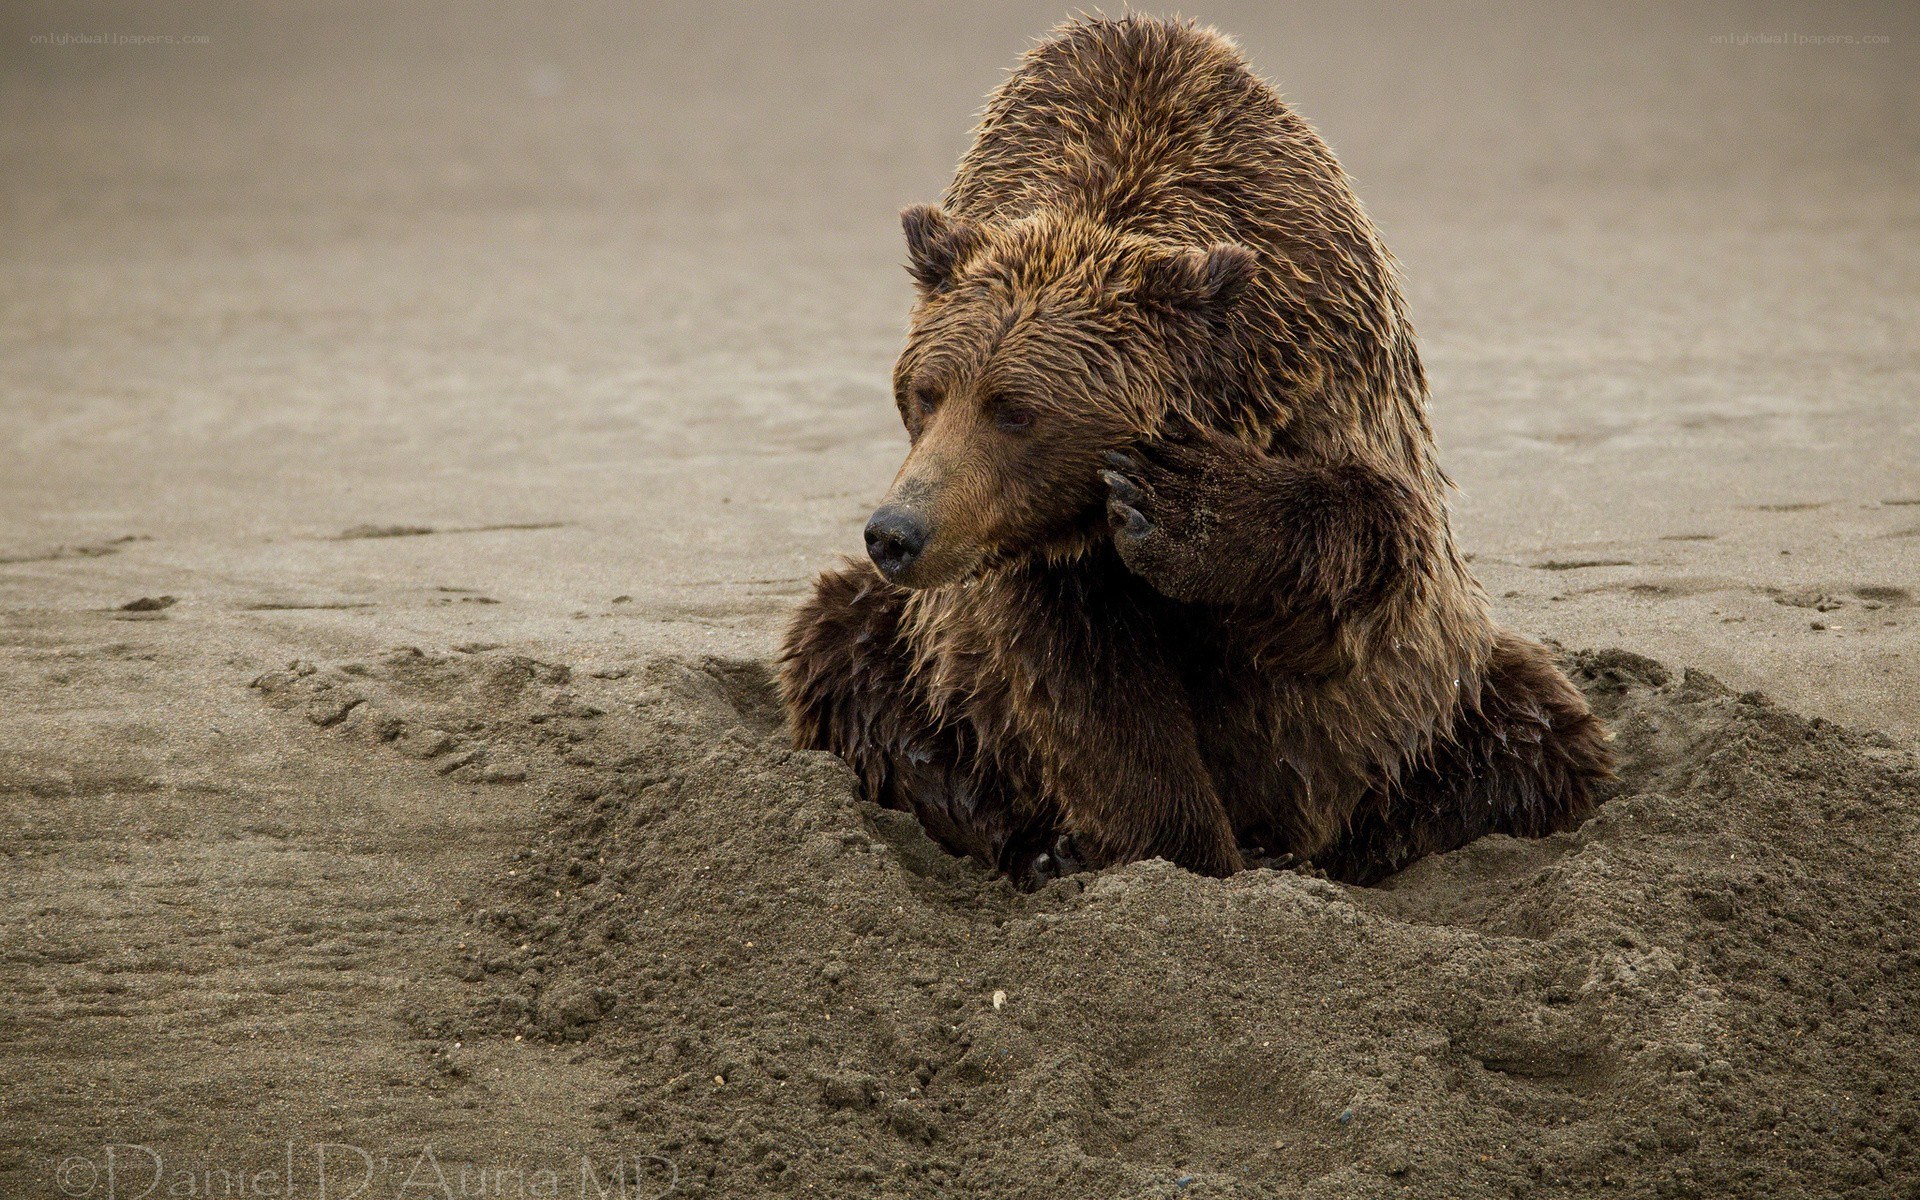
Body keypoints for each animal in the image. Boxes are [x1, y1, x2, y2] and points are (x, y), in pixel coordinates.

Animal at [780, 14, 1612, 887]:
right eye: (926, 392)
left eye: (1015, 411)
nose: (896, 532)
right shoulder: (1043, 561)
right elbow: (1089, 690)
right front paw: (1177, 849)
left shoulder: (1322, 361)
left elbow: (1369, 544)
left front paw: (1181, 507)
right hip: (918, 655)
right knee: (841, 646)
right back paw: (1039, 844)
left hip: (1441, 702)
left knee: (1534, 739)